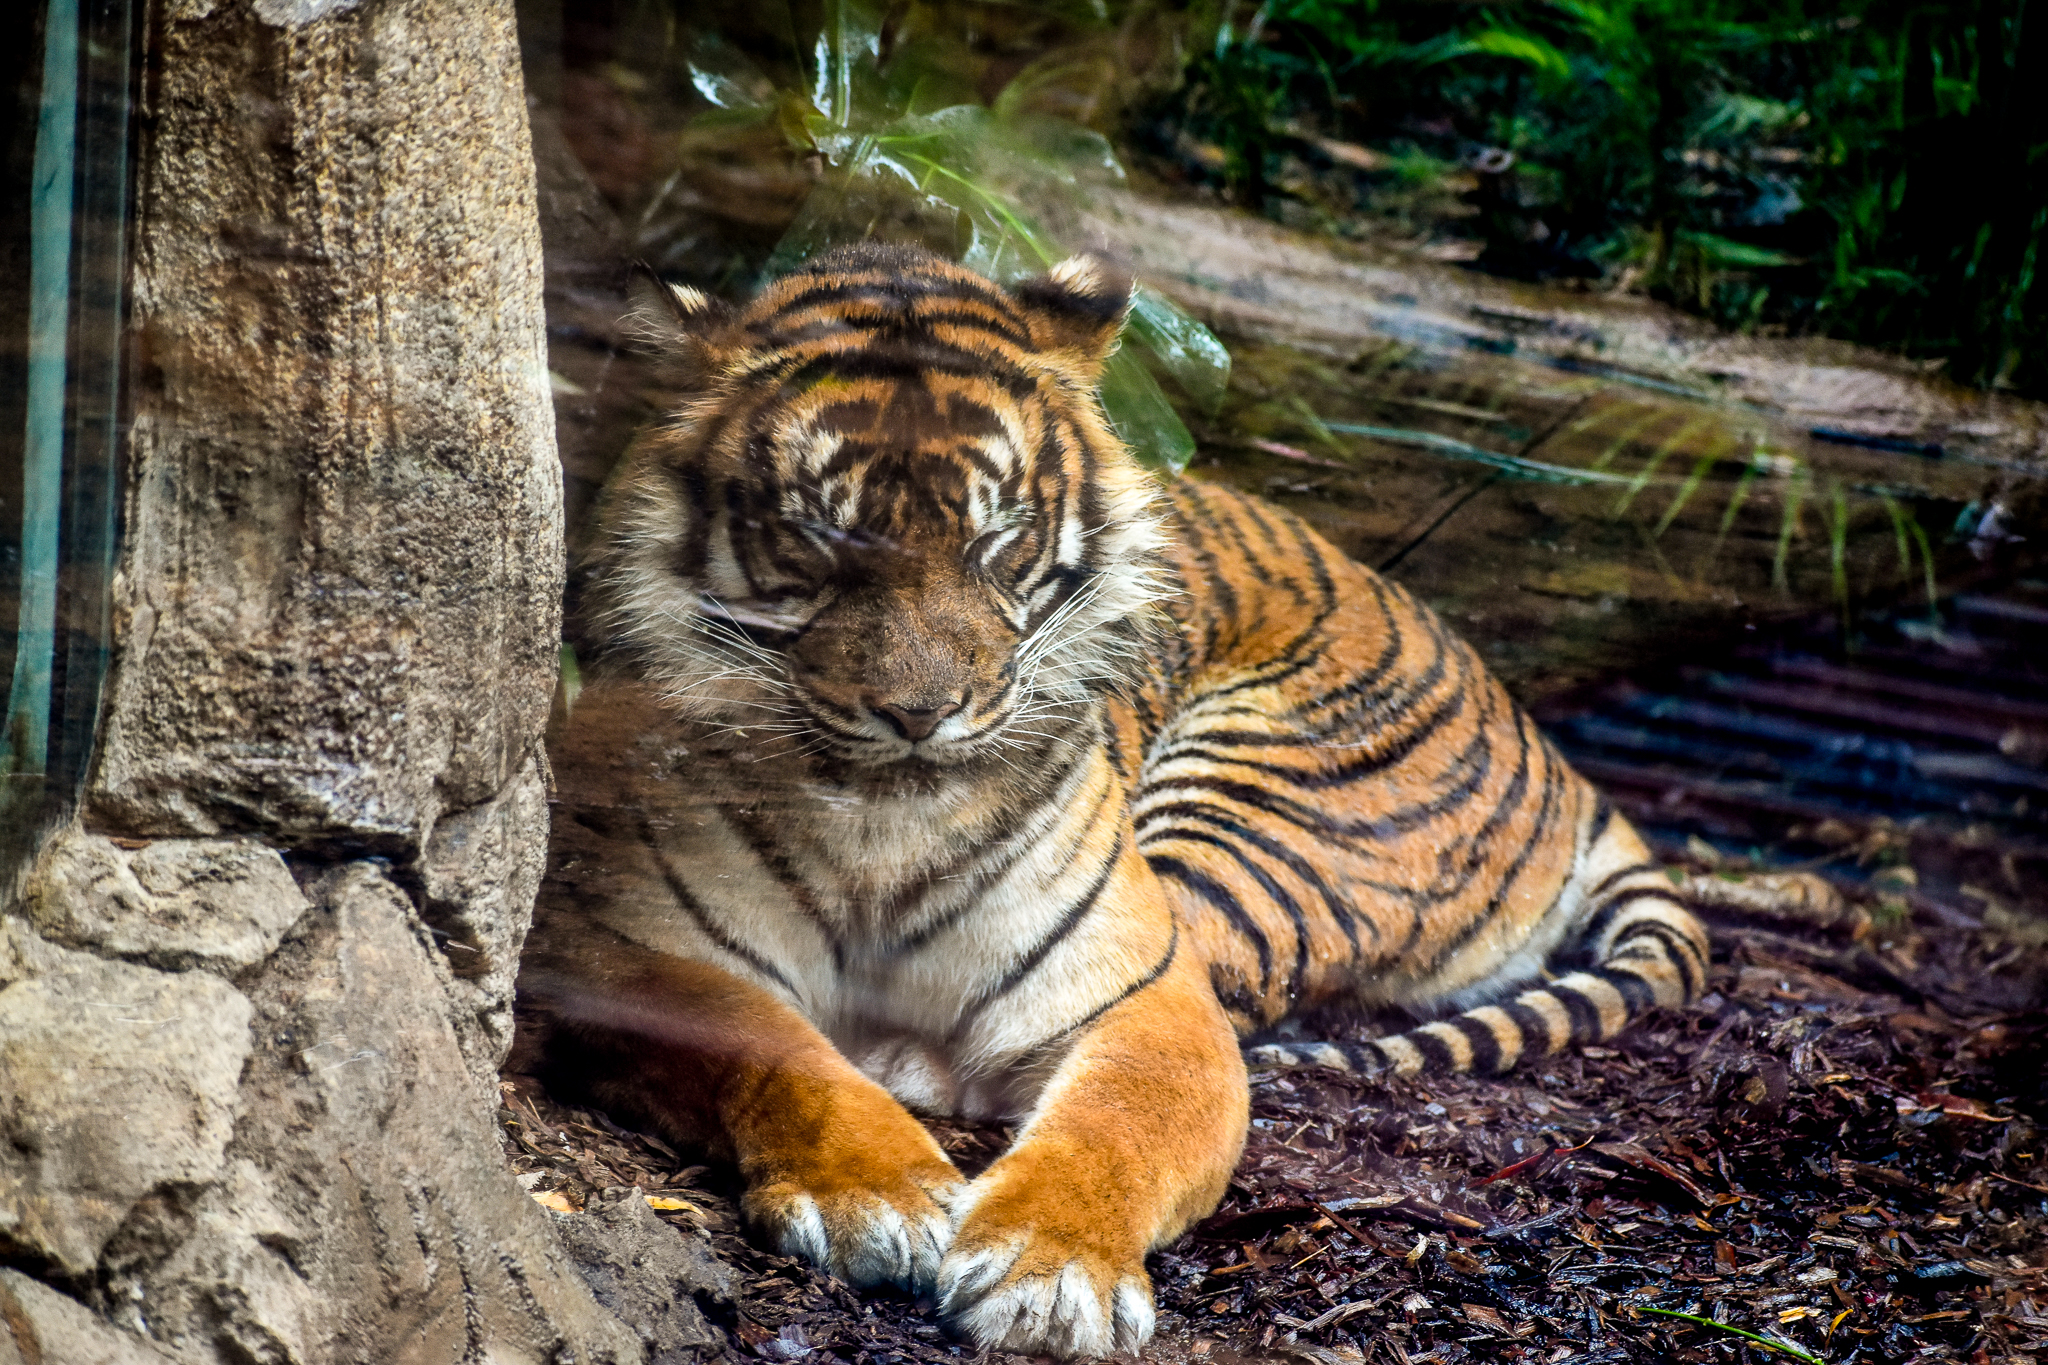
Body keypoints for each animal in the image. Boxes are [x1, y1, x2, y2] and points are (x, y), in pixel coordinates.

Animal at [520, 241, 1800, 1360]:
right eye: (821, 535)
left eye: (994, 540)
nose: (920, 713)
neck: (883, 821)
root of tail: (1555, 747)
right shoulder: (609, 944)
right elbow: (772, 1048)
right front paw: (873, 1192)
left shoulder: (1144, 990)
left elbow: (1116, 1125)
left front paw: (1051, 1275)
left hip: (1248, 823)